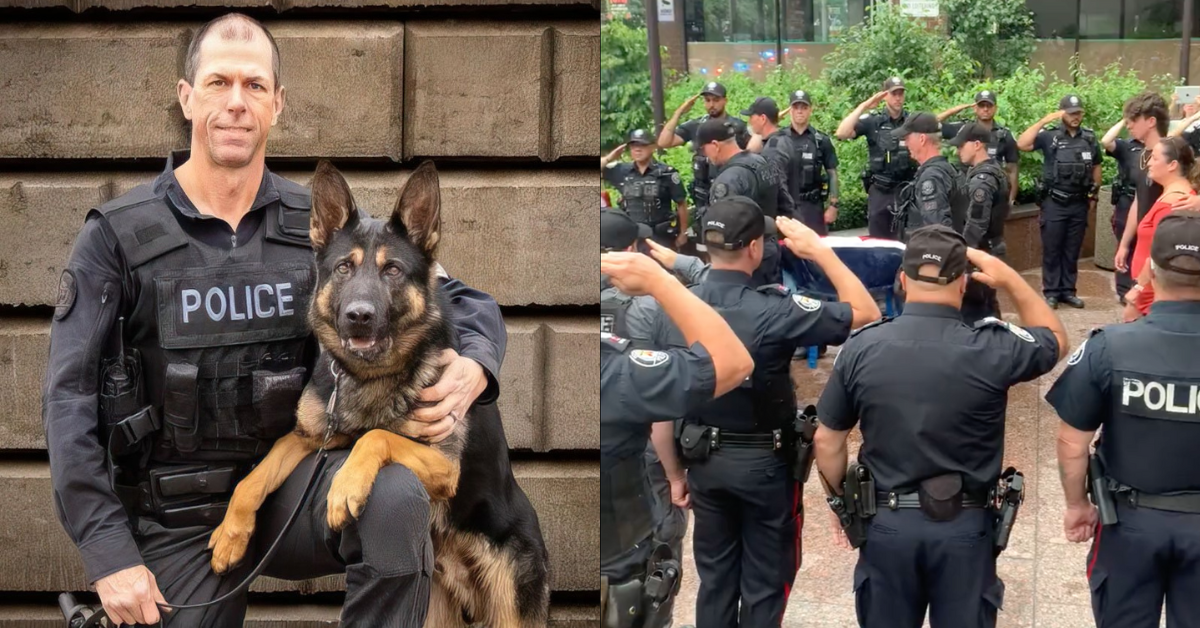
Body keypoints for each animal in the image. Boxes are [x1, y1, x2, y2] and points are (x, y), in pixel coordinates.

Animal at [210, 159, 552, 624]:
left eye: (392, 270)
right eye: (344, 268)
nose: (359, 316)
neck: (369, 377)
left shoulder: (444, 466)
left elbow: (375, 436)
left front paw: (345, 487)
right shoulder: (306, 439)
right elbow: (254, 477)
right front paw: (231, 535)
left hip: (510, 605)